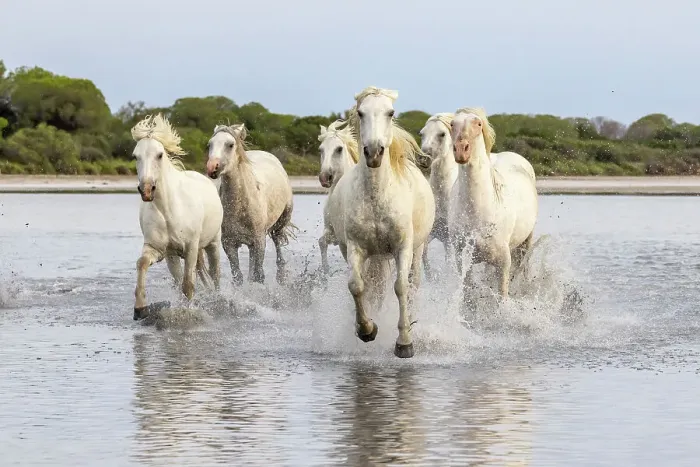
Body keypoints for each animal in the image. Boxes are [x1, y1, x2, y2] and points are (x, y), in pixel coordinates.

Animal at [131, 114, 223, 320]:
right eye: (135, 156)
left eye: (159, 155)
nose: (146, 190)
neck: (168, 210)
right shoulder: (162, 251)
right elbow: (142, 263)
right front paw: (140, 308)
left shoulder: (190, 248)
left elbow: (188, 285)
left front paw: (186, 313)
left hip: (212, 243)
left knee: (215, 275)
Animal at [205, 123, 295, 285]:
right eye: (209, 145)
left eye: (230, 145)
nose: (212, 168)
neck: (241, 205)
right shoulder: (229, 243)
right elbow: (238, 277)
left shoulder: (259, 241)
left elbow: (258, 275)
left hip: (280, 222)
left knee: (277, 242)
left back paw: (281, 276)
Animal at [333, 86, 436, 358]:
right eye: (360, 112)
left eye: (390, 113)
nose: (374, 152)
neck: (377, 196)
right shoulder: (356, 248)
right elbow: (357, 286)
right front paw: (366, 330)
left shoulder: (403, 248)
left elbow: (401, 287)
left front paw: (404, 342)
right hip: (371, 255)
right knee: (372, 286)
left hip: (417, 249)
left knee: (412, 285)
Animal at [448, 107, 538, 298]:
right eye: (452, 124)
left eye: (478, 124)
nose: (461, 151)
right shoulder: (463, 260)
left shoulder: (503, 263)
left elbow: (502, 295)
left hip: (525, 243)